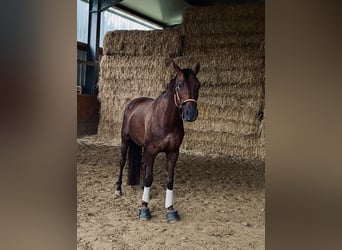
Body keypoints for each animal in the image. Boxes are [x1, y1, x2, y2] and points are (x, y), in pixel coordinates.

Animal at [115, 61, 200, 223]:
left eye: (198, 85)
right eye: (180, 85)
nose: (191, 114)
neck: (165, 119)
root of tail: (134, 103)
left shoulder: (173, 153)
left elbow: (170, 180)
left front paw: (170, 210)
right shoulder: (152, 151)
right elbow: (150, 178)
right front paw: (144, 208)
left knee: (142, 163)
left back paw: (142, 189)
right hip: (125, 140)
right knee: (122, 161)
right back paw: (118, 189)